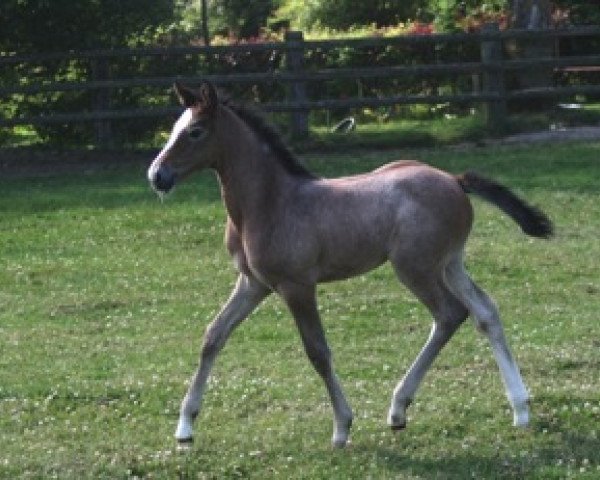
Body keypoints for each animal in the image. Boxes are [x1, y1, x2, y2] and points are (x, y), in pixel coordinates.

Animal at [146, 81, 552, 446]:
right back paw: (519, 408)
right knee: (485, 311)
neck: (270, 202)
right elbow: (214, 336)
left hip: (415, 268)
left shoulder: (296, 286)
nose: (157, 176)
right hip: (450, 263)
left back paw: (399, 408)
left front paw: (342, 427)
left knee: (450, 314)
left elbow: (318, 352)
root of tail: (454, 180)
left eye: (195, 131)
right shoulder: (253, 283)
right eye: (176, 128)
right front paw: (185, 427)